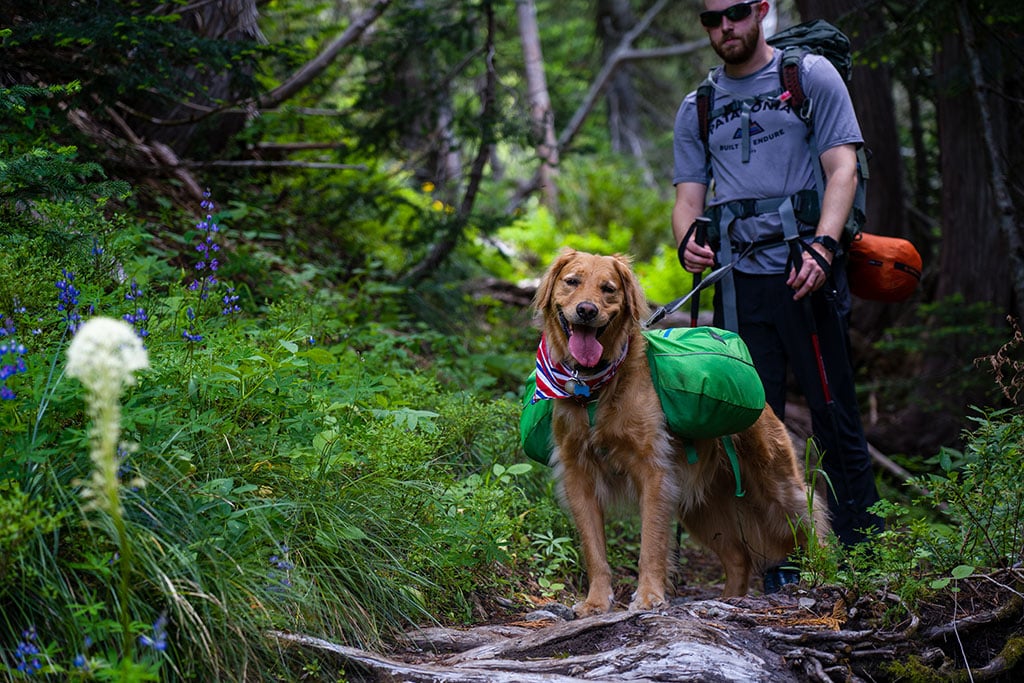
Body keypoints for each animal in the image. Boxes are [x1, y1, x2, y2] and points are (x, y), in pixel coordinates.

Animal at [532, 248, 827, 618]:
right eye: (572, 281)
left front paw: (648, 596)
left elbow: (651, 545)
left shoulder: (654, 472)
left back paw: (832, 576)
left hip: (779, 488)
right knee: (739, 558)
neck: (594, 389)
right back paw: (728, 601)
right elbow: (594, 550)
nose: (587, 310)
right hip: (702, 507)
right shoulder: (578, 476)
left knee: (815, 526)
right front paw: (596, 601)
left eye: (608, 289)